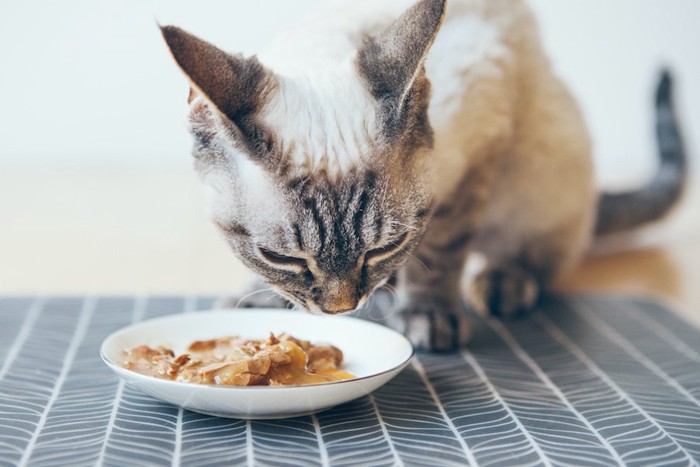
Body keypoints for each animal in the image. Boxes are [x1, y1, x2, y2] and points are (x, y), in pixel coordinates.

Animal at [161, 0, 688, 352]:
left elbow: (439, 252)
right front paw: (261, 300)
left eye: (384, 247)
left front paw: (427, 316)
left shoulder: (478, 153)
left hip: (542, 168)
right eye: (281, 257)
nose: (341, 310)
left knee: (543, 254)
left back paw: (502, 282)